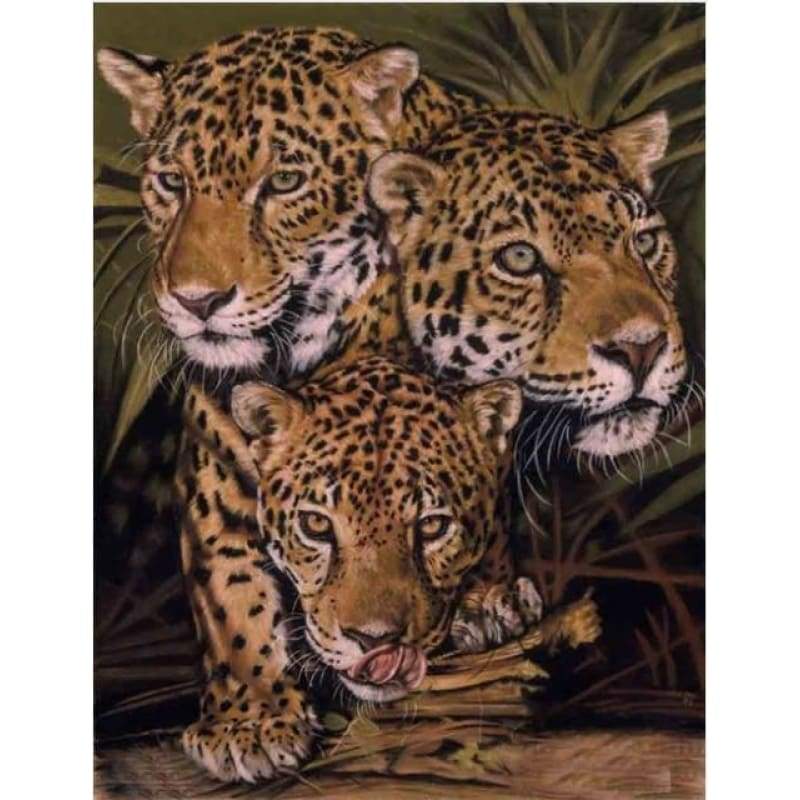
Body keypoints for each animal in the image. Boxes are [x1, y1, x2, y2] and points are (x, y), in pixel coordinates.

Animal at [178, 356, 538, 781]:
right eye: (316, 525)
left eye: (432, 526)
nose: (375, 642)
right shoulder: (215, 469)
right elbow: (232, 596)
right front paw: (250, 721)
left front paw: (489, 602)